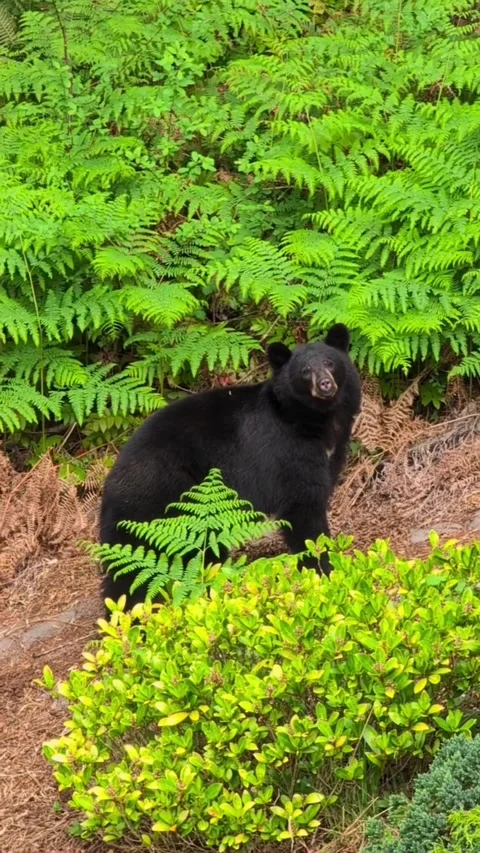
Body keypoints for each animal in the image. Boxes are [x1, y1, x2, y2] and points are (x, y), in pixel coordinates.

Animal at [99, 323, 361, 609]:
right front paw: (325, 571)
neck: (316, 420)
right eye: (304, 371)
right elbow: (303, 508)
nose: (325, 384)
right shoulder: (287, 451)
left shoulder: (331, 452)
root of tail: (113, 475)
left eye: (330, 362)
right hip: (158, 497)